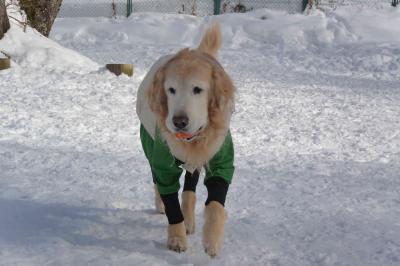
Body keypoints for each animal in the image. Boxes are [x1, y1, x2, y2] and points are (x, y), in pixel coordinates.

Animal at [137, 23, 234, 256]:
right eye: (171, 90)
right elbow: (171, 203)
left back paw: (189, 221)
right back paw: (162, 206)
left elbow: (216, 203)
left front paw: (212, 240)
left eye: (197, 89)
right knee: (157, 183)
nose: (179, 121)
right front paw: (176, 239)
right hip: (149, 144)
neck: (194, 138)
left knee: (189, 190)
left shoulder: (221, 158)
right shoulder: (163, 162)